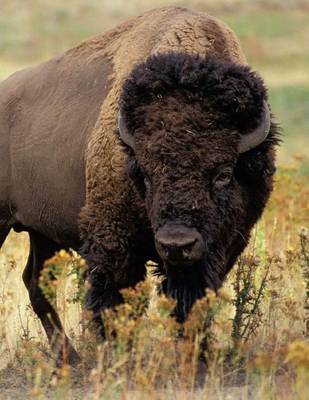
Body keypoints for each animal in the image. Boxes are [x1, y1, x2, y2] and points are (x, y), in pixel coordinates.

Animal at [0, 6, 280, 364]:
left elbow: (192, 302)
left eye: (223, 173)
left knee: (35, 282)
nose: (177, 243)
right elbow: (115, 301)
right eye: (145, 174)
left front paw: (196, 357)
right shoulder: (114, 242)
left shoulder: (221, 247)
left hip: (42, 232)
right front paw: (119, 356)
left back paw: (71, 359)